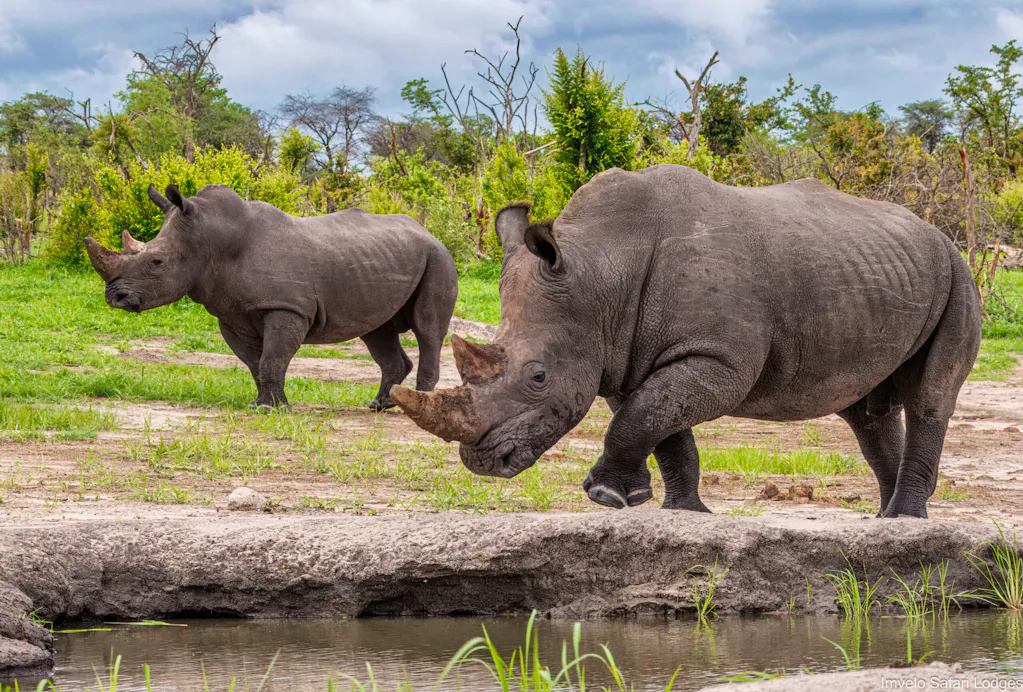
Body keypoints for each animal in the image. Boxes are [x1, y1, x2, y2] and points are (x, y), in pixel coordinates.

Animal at [86, 184, 458, 411]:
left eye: (157, 262)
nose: (115, 297)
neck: (210, 240)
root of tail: (428, 232)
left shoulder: (287, 308)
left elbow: (273, 357)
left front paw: (270, 408)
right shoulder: (231, 314)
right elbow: (255, 362)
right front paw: (263, 404)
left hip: (438, 259)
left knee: (427, 330)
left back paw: (419, 405)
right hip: (385, 263)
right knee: (377, 330)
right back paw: (380, 405)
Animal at [392, 165, 982, 518]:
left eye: (538, 376)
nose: (482, 462)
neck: (602, 269)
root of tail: (935, 232)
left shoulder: (718, 359)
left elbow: (645, 418)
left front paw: (605, 496)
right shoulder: (624, 354)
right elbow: (659, 422)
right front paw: (677, 510)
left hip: (958, 273)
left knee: (930, 398)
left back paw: (905, 519)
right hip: (877, 272)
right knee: (865, 411)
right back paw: (887, 518)